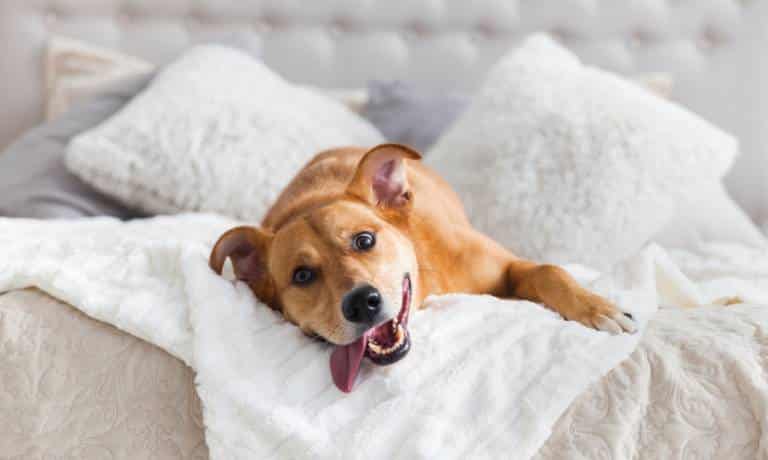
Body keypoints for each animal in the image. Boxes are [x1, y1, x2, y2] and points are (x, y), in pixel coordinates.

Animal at [210, 144, 636, 392]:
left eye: (364, 240)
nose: (361, 303)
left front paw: (598, 308)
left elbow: (549, 270)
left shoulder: (511, 267)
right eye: (302, 275)